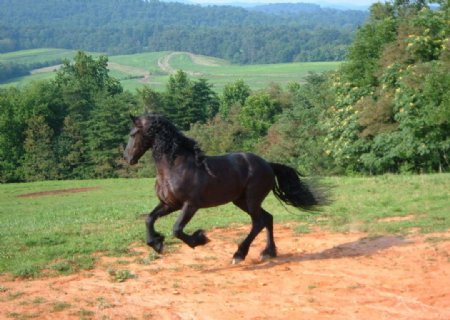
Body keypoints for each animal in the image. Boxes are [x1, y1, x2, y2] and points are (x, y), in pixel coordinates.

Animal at [125, 114, 328, 264]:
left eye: (133, 134)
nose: (127, 158)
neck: (176, 166)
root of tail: (268, 165)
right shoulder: (169, 204)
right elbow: (149, 219)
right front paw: (156, 243)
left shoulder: (190, 205)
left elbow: (177, 229)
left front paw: (200, 239)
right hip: (241, 201)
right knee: (267, 218)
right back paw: (268, 253)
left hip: (251, 199)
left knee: (258, 222)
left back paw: (239, 254)